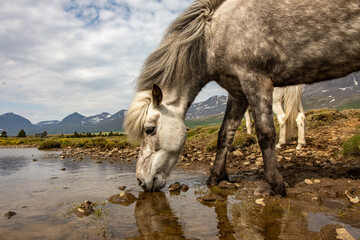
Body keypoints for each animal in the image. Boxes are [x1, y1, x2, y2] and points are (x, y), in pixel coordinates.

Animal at [123, 0, 360, 196]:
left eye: (149, 129)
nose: (141, 181)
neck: (214, 36)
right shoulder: (237, 92)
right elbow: (224, 135)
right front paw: (216, 177)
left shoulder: (255, 79)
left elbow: (265, 134)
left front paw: (273, 185)